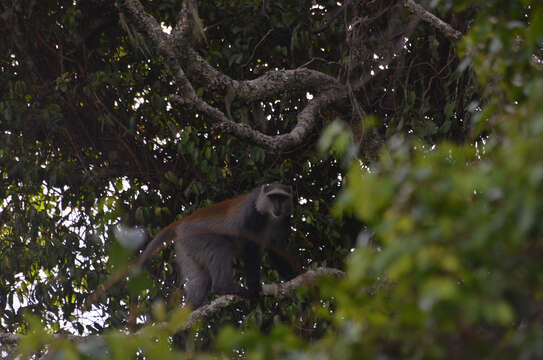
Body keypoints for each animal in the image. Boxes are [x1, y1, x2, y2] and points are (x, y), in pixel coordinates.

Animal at [136, 184, 298, 308]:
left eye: (282, 198)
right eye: (273, 197)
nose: (277, 207)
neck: (269, 216)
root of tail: (182, 222)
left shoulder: (283, 221)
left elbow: (277, 252)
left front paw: (295, 276)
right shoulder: (253, 216)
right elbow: (250, 249)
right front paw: (253, 286)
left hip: (185, 247)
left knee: (200, 281)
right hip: (195, 237)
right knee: (221, 246)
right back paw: (224, 287)